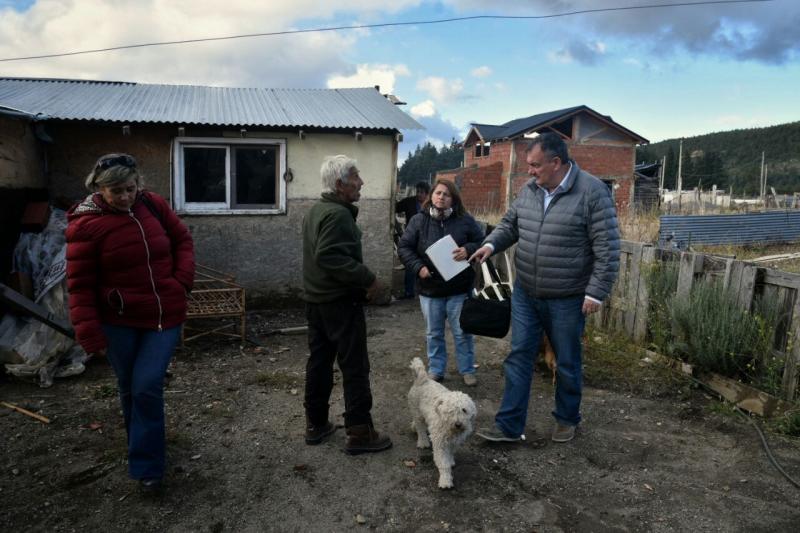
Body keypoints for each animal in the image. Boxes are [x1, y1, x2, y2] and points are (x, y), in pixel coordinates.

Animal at [406, 356, 476, 488]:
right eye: (450, 411)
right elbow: (443, 463)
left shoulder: (454, 443)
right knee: (420, 427)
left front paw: (451, 461)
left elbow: (451, 454)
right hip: (416, 411)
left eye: (464, 410)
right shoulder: (440, 444)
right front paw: (445, 480)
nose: (458, 424)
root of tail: (423, 379)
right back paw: (422, 441)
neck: (450, 429)